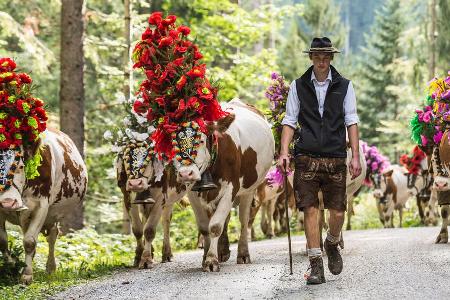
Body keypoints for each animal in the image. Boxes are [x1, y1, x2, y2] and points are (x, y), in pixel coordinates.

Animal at [0, 129, 87, 284]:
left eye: (21, 166)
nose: (8, 202)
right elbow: (3, 241)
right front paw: (10, 266)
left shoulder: (41, 206)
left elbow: (29, 242)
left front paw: (27, 275)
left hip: (53, 214)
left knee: (52, 236)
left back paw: (51, 267)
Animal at [172, 99, 272, 272]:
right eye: (174, 143)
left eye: (201, 140)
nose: (185, 174)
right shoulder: (193, 193)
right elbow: (205, 227)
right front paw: (207, 257)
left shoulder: (231, 188)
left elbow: (215, 226)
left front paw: (212, 260)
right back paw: (223, 251)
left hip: (249, 189)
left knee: (244, 221)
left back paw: (243, 254)